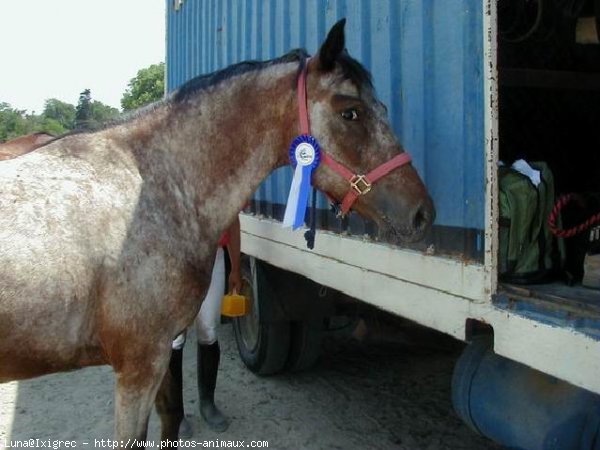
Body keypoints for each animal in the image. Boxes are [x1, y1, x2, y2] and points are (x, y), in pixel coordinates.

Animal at [0, 20, 434, 446]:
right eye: (350, 113)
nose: (423, 213)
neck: (151, 187)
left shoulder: (161, 354)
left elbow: (173, 419)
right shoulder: (139, 366)